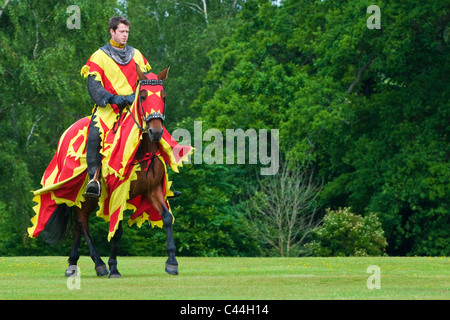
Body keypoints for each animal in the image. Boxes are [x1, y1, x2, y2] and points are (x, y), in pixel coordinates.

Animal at [37, 65, 180, 278]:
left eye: (163, 95)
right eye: (143, 96)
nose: (155, 132)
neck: (141, 150)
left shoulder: (152, 190)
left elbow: (167, 218)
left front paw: (171, 261)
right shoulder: (116, 193)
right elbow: (117, 229)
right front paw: (113, 267)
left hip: (85, 198)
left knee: (80, 223)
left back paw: (73, 263)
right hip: (82, 193)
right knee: (81, 222)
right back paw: (99, 264)